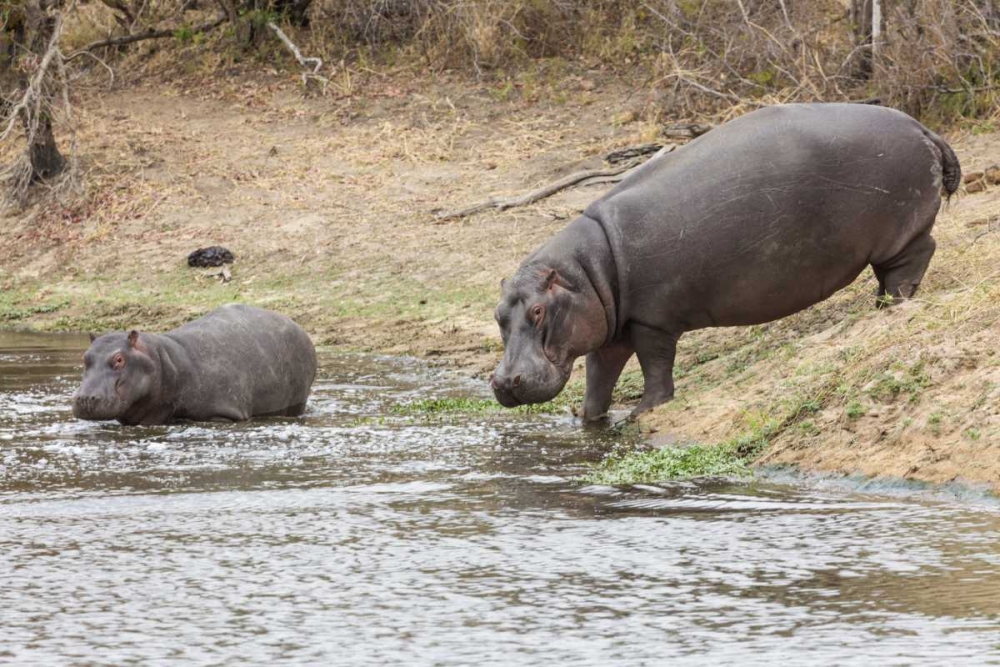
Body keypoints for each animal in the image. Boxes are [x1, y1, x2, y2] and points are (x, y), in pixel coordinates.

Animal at [73, 304, 317, 425]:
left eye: (119, 359)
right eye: (85, 357)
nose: (84, 398)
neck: (164, 358)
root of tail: (300, 328)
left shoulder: (223, 413)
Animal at [491, 103, 960, 420]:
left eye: (538, 310)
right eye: (497, 315)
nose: (502, 382)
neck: (585, 272)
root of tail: (923, 127)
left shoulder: (651, 321)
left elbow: (655, 366)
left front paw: (643, 413)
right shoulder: (610, 329)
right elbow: (598, 378)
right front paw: (588, 421)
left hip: (900, 235)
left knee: (917, 257)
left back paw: (892, 305)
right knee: (893, 270)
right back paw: (878, 305)